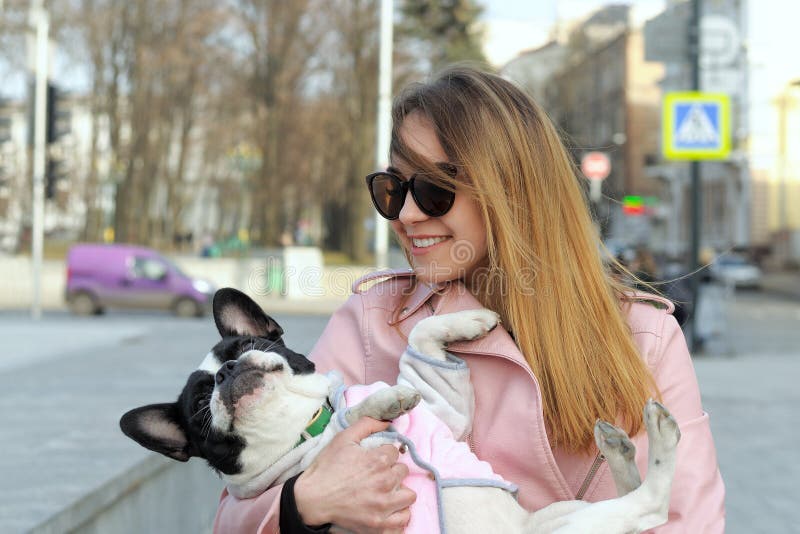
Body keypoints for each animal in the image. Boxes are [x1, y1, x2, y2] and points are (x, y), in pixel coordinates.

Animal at [120, 292, 680, 532]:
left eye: (246, 344)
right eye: (198, 406)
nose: (226, 373)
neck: (308, 423)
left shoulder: (442, 407)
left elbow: (423, 340)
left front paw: (470, 320)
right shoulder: (334, 458)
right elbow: (359, 421)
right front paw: (384, 401)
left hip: (557, 516)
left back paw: (619, 447)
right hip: (562, 531)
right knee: (649, 506)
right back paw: (659, 437)